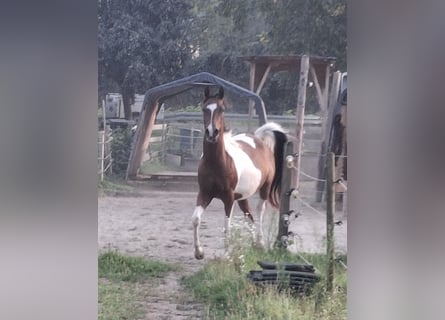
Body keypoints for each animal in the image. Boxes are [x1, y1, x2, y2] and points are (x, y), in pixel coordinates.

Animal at [192, 85, 288, 260]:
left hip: (264, 189)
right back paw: (253, 244)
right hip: (243, 197)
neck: (217, 163)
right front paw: (199, 252)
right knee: (249, 215)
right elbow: (196, 219)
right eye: (204, 108)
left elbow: (227, 225)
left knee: (259, 211)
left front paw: (227, 254)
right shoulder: (204, 193)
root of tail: (259, 140)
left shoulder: (228, 198)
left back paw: (260, 243)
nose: (212, 133)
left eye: (222, 109)